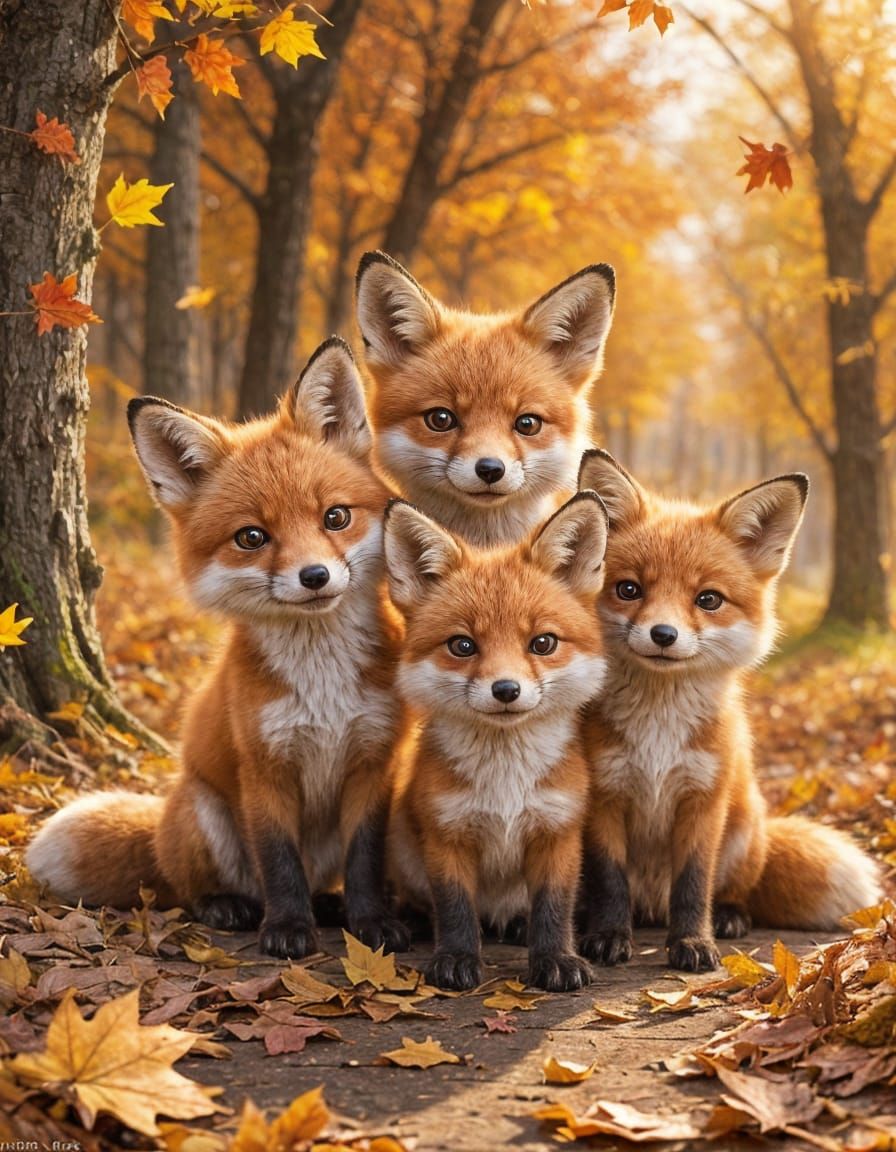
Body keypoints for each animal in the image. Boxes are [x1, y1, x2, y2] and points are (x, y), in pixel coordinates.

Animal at [27, 338, 409, 959]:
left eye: (335, 517)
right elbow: (279, 863)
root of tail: (161, 823)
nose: (315, 577)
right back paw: (229, 906)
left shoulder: (374, 763)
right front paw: (286, 928)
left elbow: (366, 859)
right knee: (190, 887)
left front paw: (371, 921)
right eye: (252, 537)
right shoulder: (262, 769)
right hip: (205, 814)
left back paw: (330, 905)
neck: (322, 685)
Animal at [383, 492, 609, 992]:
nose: (506, 690)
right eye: (463, 646)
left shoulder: (557, 833)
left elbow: (554, 909)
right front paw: (456, 958)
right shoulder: (446, 835)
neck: (506, 784)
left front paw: (555, 959)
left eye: (543, 643)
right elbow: (454, 909)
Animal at [576, 450, 882, 972]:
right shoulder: (604, 796)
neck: (658, 735)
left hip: (743, 833)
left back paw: (729, 917)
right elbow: (610, 882)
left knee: (733, 892)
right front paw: (609, 937)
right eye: (629, 590)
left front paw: (694, 942)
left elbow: (693, 885)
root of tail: (650, 908)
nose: (663, 635)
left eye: (708, 599)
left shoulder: (704, 799)